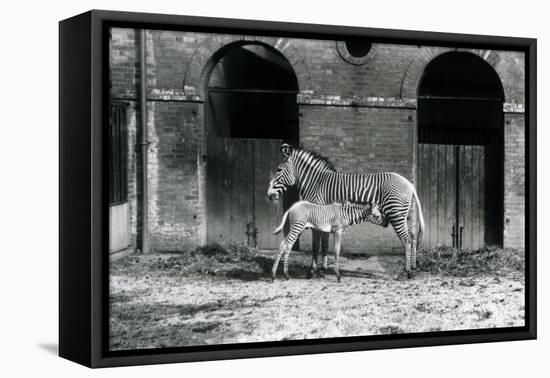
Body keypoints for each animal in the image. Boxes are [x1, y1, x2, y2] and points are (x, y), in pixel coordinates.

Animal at [268, 143, 426, 280]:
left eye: (278, 170)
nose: (270, 196)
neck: (316, 183)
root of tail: (409, 184)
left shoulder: (317, 215)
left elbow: (316, 245)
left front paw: (313, 271)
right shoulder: (323, 218)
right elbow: (324, 244)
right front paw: (322, 270)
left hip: (395, 213)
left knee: (406, 239)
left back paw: (406, 271)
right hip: (402, 215)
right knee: (412, 237)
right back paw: (413, 268)